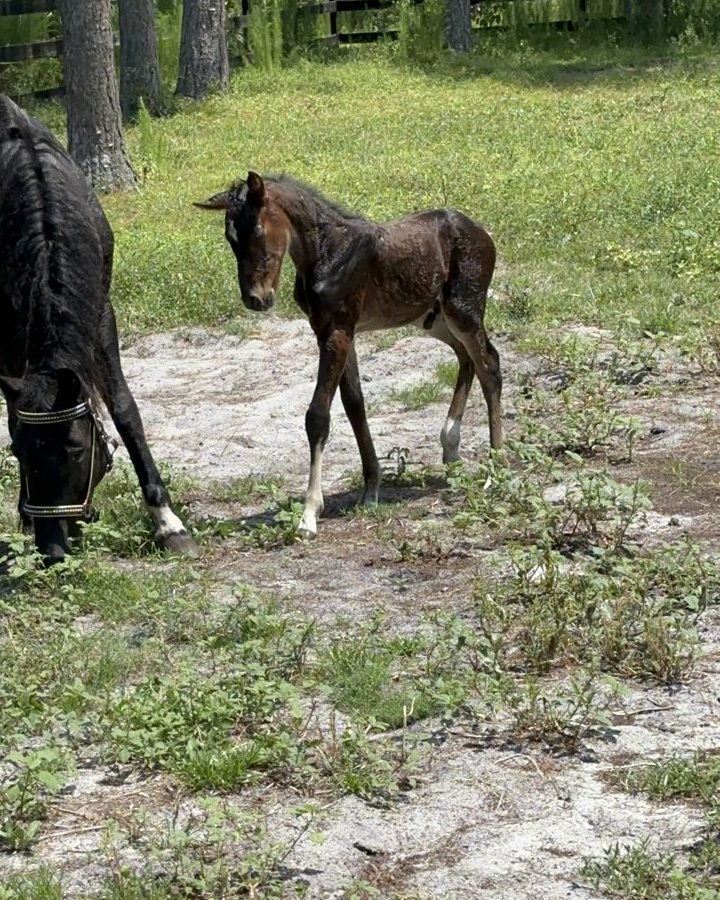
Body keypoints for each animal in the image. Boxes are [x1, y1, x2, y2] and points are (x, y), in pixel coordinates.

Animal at [0, 95, 197, 564]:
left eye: (76, 448)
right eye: (19, 452)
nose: (53, 550)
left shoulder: (101, 314)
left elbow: (124, 409)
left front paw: (168, 523)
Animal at [196, 172, 502, 540]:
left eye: (256, 230)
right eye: (230, 238)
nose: (256, 299)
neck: (327, 251)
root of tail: (481, 231)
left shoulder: (338, 331)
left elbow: (318, 415)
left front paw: (309, 514)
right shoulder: (333, 332)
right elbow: (355, 404)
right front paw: (371, 490)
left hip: (463, 310)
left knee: (489, 365)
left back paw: (495, 469)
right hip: (434, 317)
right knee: (466, 358)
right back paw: (451, 449)